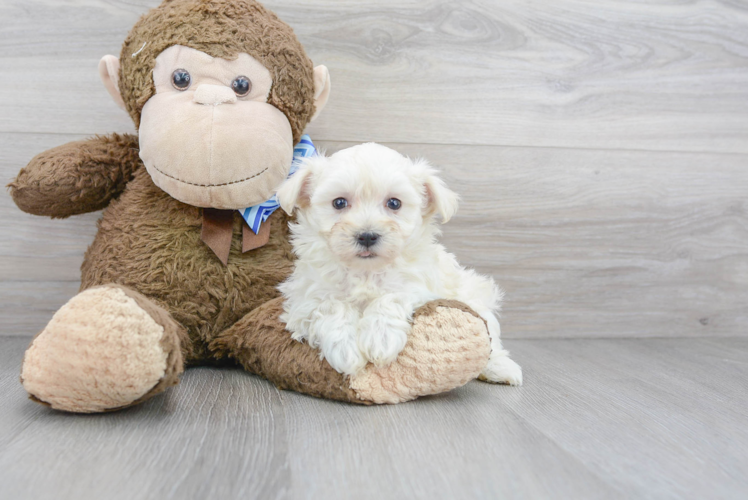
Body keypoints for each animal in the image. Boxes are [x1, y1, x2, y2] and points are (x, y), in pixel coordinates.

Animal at [274, 143, 520, 384]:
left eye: (394, 203)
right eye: (339, 202)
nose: (367, 236)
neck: (365, 272)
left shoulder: (422, 287)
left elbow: (393, 296)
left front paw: (380, 337)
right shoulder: (304, 298)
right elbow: (330, 305)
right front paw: (346, 349)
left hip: (474, 294)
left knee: (491, 337)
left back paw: (501, 368)